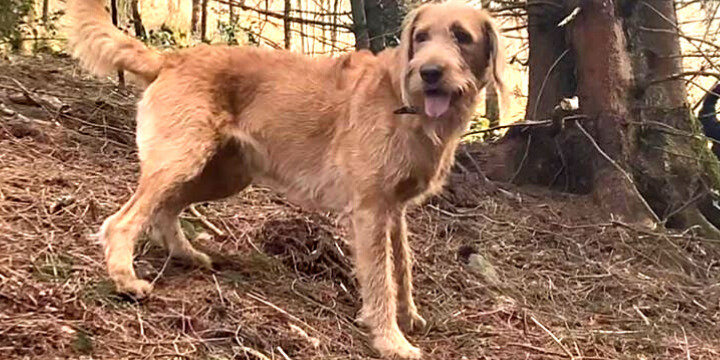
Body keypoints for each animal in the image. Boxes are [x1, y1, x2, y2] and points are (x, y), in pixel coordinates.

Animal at [66, 0, 506, 358]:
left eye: (461, 37)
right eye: (421, 36)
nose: (428, 72)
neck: (406, 104)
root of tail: (171, 59)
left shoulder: (394, 211)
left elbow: (402, 267)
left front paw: (408, 315)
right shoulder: (370, 210)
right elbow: (381, 279)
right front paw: (390, 340)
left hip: (220, 174)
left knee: (164, 210)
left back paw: (187, 255)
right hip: (181, 160)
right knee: (122, 221)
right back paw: (126, 280)